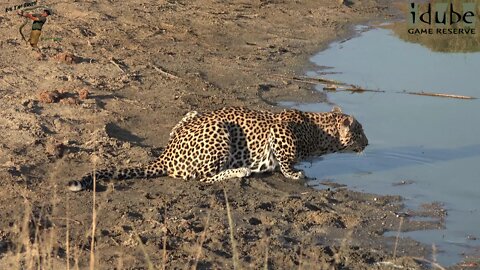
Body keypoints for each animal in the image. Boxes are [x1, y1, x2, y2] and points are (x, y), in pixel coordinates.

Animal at [67, 106, 368, 192]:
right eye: (361, 131)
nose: (367, 143)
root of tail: (166, 155)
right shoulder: (281, 131)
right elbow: (285, 159)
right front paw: (294, 173)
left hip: (191, 114)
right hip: (221, 133)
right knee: (203, 178)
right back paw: (240, 171)